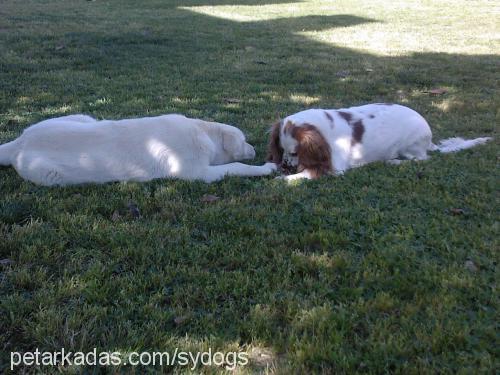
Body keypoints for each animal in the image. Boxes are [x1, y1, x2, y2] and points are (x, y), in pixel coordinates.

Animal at [0, 114, 276, 186]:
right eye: (244, 140)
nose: (254, 148)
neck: (203, 132)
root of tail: (19, 142)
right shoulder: (199, 173)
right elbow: (237, 167)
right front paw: (266, 168)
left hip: (82, 117)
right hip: (50, 175)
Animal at [268, 103, 490, 181]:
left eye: (296, 153)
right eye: (281, 149)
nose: (285, 167)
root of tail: (430, 138)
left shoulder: (333, 168)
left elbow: (304, 174)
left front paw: (282, 180)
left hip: (410, 146)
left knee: (420, 159)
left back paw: (394, 161)